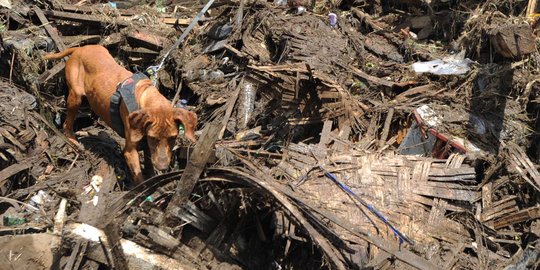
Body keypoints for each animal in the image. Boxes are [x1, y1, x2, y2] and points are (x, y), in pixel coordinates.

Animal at [43, 45, 196, 185]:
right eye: (153, 138)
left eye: (173, 138)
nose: (163, 168)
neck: (145, 95)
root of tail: (80, 48)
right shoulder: (130, 150)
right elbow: (139, 178)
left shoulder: (147, 146)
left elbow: (149, 168)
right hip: (76, 96)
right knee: (66, 123)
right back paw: (73, 142)